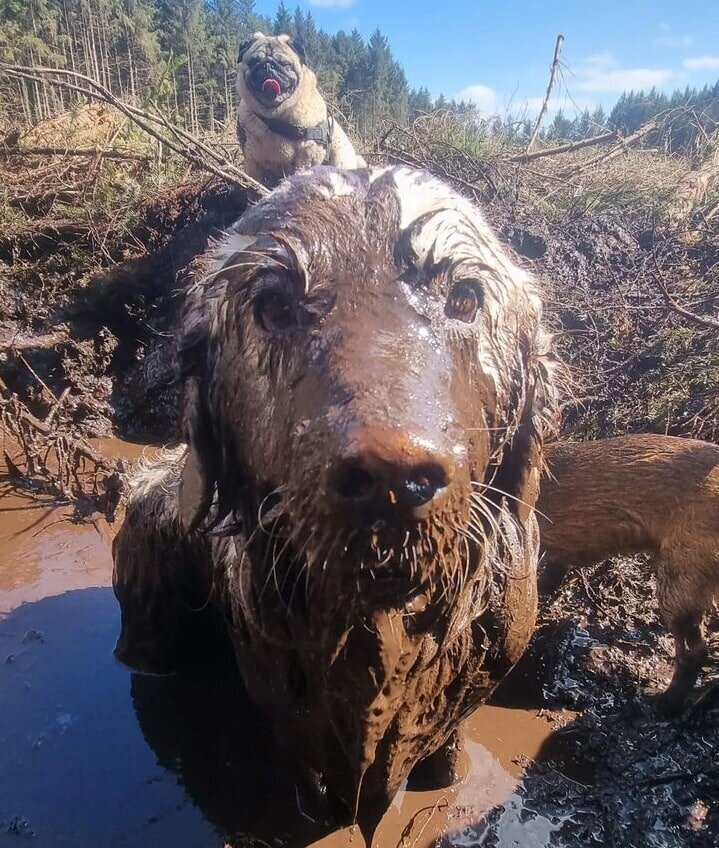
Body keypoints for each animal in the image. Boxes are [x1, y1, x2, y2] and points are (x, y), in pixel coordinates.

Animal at [236, 34, 366, 186]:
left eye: (285, 64)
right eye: (254, 61)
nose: (267, 65)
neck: (275, 118)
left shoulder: (306, 159)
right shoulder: (252, 161)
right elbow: (253, 182)